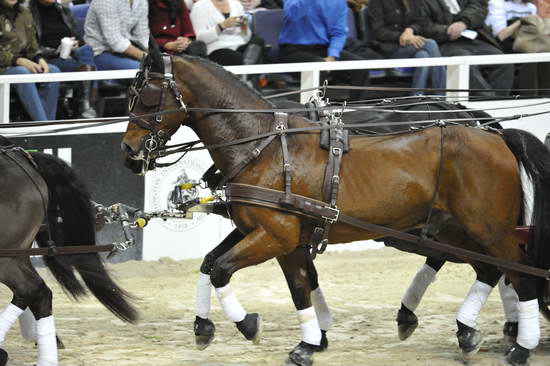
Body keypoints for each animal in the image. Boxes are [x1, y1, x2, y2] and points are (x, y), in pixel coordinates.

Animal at [123, 50, 550, 366]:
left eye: (146, 96)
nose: (128, 151)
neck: (263, 146)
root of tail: (494, 135)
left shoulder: (277, 235)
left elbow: (226, 271)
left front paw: (252, 326)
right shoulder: (270, 234)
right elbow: (240, 271)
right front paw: (303, 340)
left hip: (488, 229)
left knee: (520, 274)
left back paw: (519, 345)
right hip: (453, 229)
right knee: (491, 269)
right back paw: (466, 330)